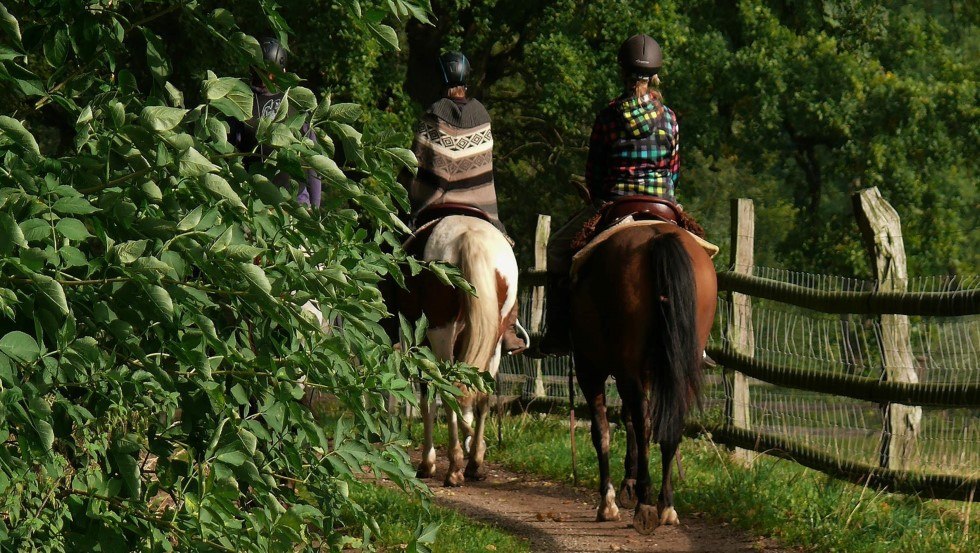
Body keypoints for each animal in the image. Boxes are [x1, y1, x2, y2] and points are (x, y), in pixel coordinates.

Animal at [394, 213, 520, 486]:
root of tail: (469, 234)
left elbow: (428, 401)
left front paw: (428, 463)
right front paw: (472, 445)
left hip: (440, 333)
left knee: (447, 389)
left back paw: (453, 467)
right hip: (493, 341)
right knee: (482, 395)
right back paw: (474, 463)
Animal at [572, 222, 716, 532]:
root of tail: (657, 236)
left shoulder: (589, 369)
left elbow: (601, 431)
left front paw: (609, 502)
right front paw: (629, 483)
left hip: (622, 367)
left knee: (643, 420)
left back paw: (645, 504)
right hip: (677, 370)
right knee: (669, 424)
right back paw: (666, 505)